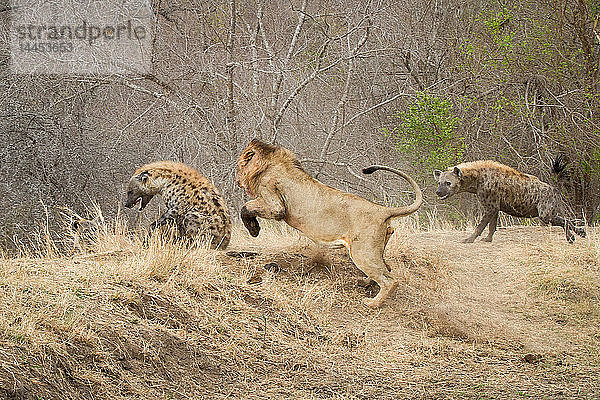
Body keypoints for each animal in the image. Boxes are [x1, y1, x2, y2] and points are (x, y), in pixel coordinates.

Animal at [234, 139, 422, 308]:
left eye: (238, 166)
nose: (235, 180)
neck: (267, 163)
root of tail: (382, 210)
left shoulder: (275, 205)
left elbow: (245, 207)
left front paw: (254, 230)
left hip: (362, 252)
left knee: (390, 280)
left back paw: (373, 303)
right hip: (374, 250)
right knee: (387, 268)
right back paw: (365, 282)